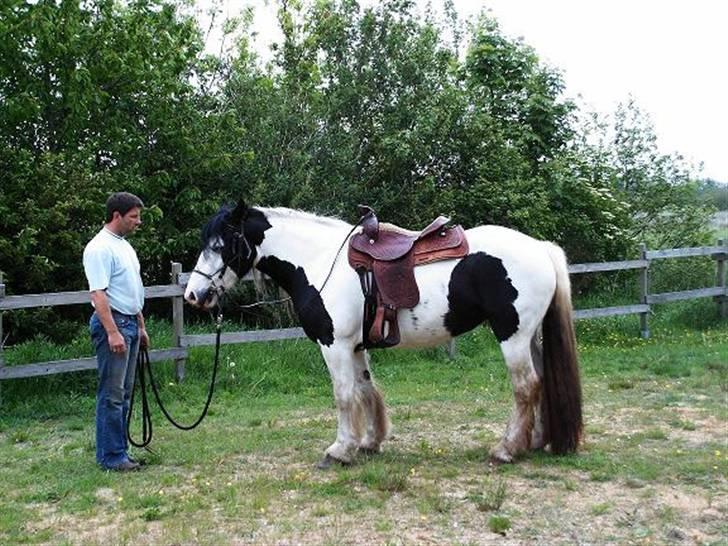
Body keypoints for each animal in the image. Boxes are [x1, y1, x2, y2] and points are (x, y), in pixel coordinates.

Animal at [185, 202, 584, 466]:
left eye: (220, 246)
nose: (193, 295)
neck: (318, 261)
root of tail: (540, 248)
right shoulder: (355, 346)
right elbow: (365, 390)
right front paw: (369, 443)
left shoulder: (334, 345)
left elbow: (344, 395)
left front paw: (340, 450)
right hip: (528, 337)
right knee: (541, 382)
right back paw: (536, 441)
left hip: (512, 335)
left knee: (526, 386)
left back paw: (507, 449)